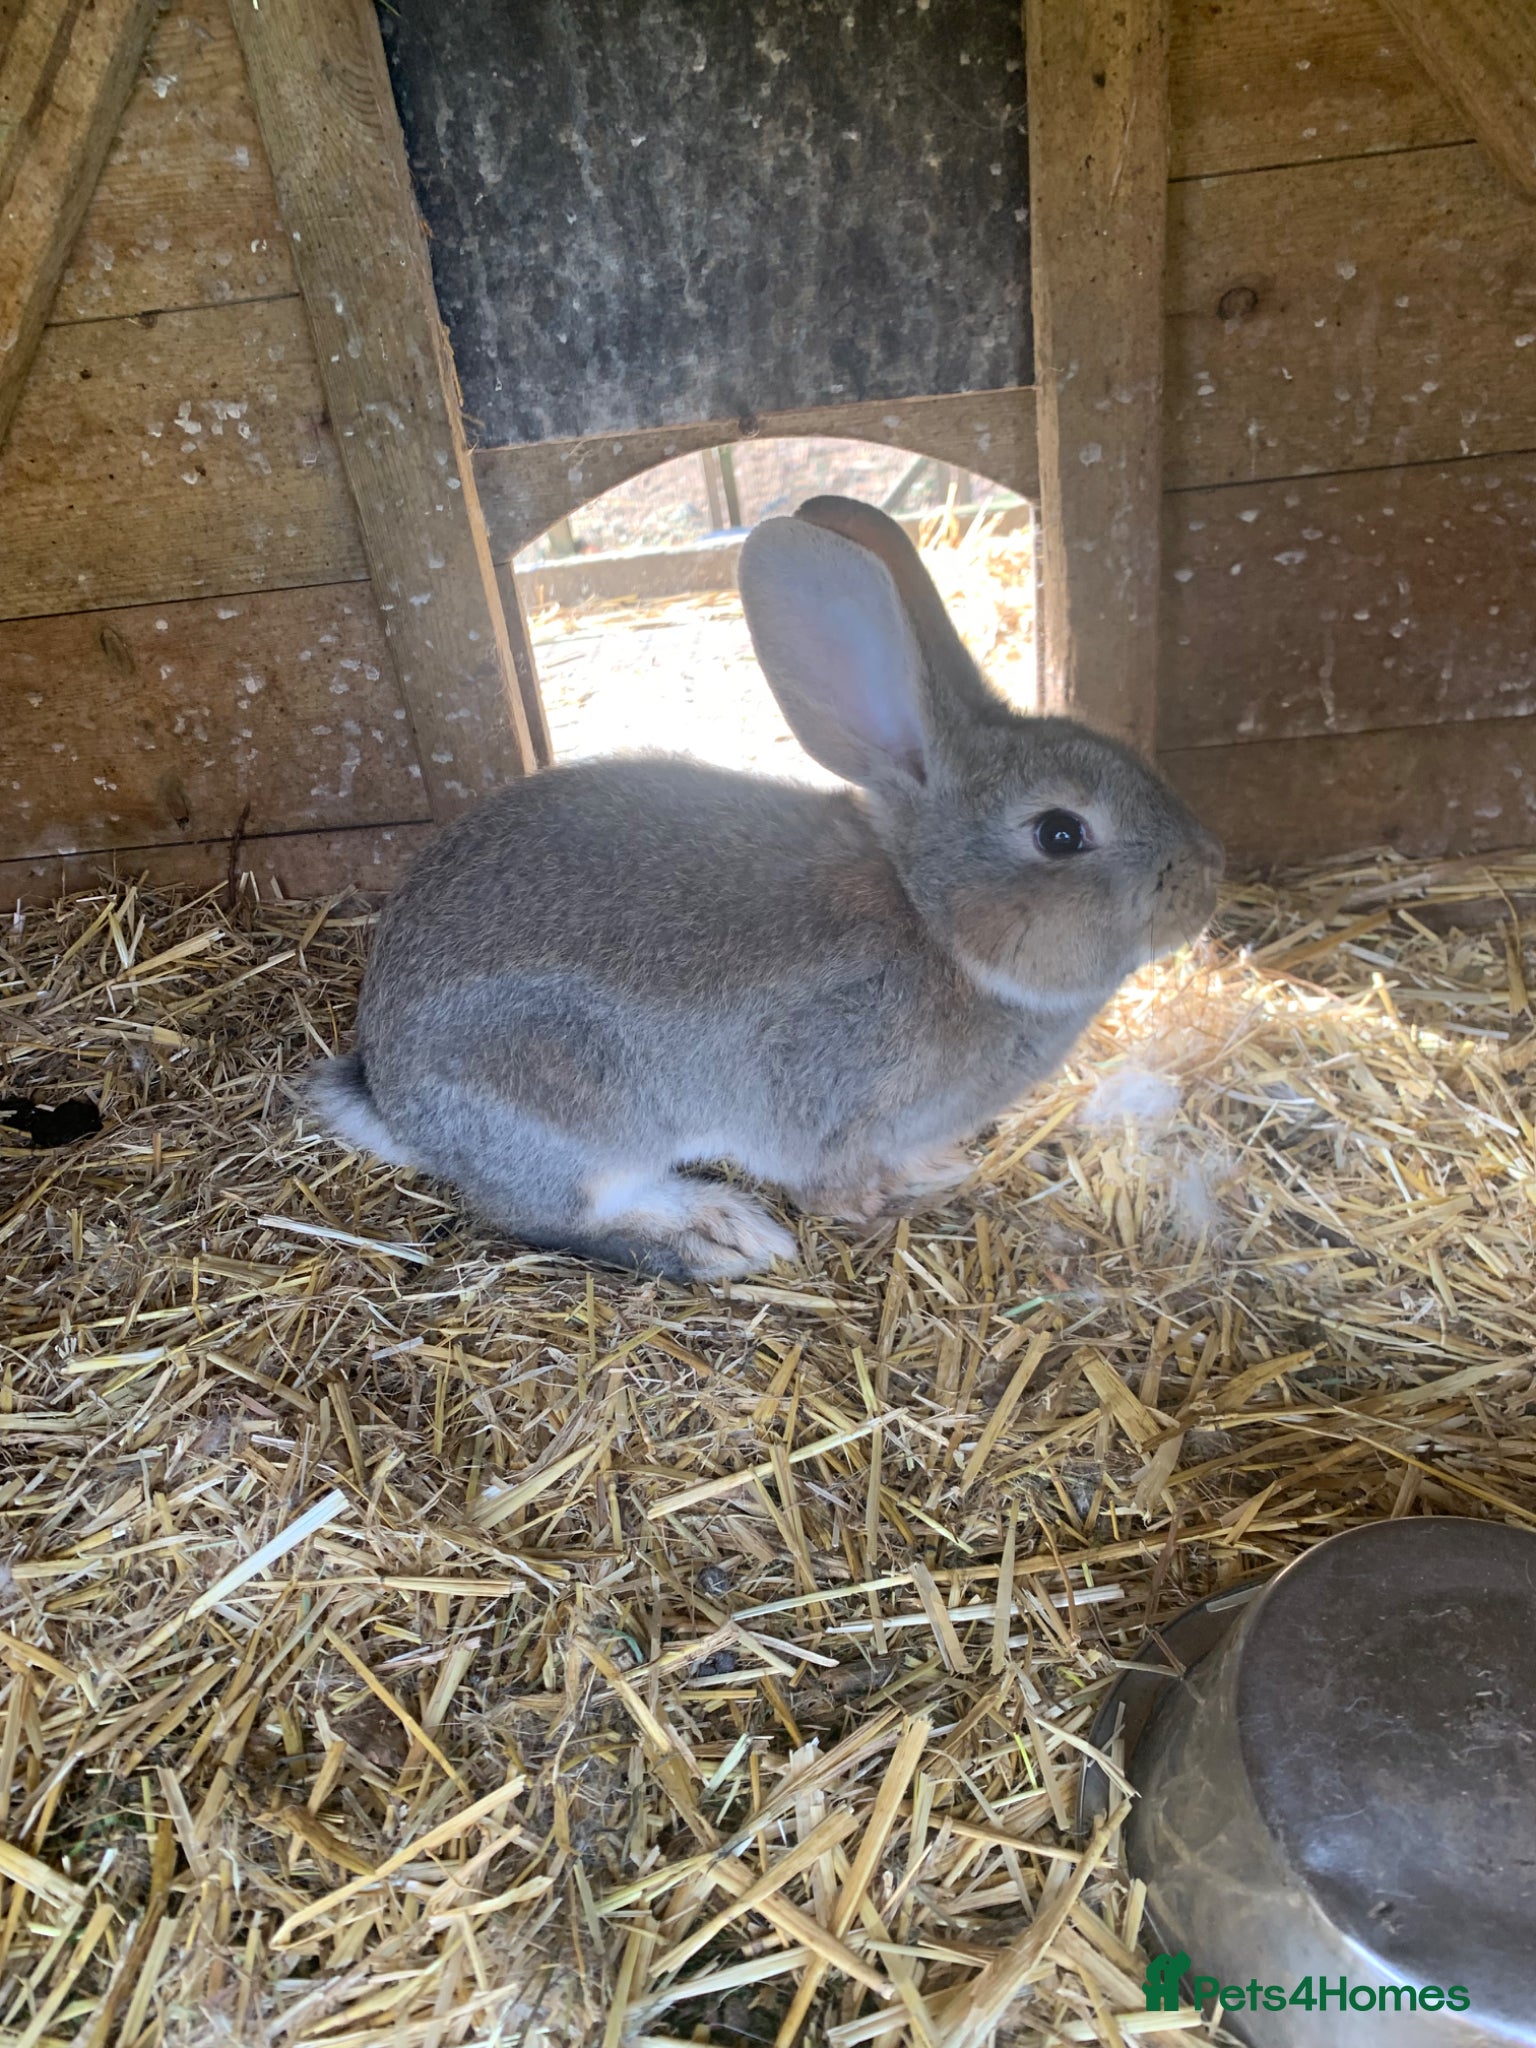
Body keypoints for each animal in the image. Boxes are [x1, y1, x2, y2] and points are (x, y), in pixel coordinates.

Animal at [309, 494, 1222, 1281]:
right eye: (1061, 833)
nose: (1207, 879)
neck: (935, 922)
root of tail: (391, 1094)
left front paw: (934, 1167)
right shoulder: (831, 1102)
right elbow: (825, 1179)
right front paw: (876, 1201)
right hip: (572, 1117)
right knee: (554, 1214)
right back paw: (715, 1234)